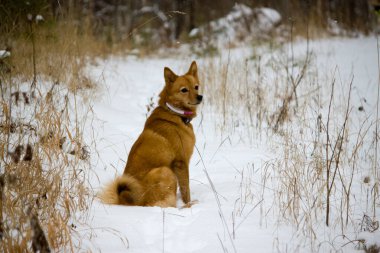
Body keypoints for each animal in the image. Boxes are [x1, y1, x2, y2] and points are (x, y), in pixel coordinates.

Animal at [99, 61, 203, 208]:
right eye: (184, 90)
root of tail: (133, 202)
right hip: (166, 171)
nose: (200, 97)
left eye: (196, 87)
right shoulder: (181, 163)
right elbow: (185, 190)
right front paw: (188, 203)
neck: (174, 112)